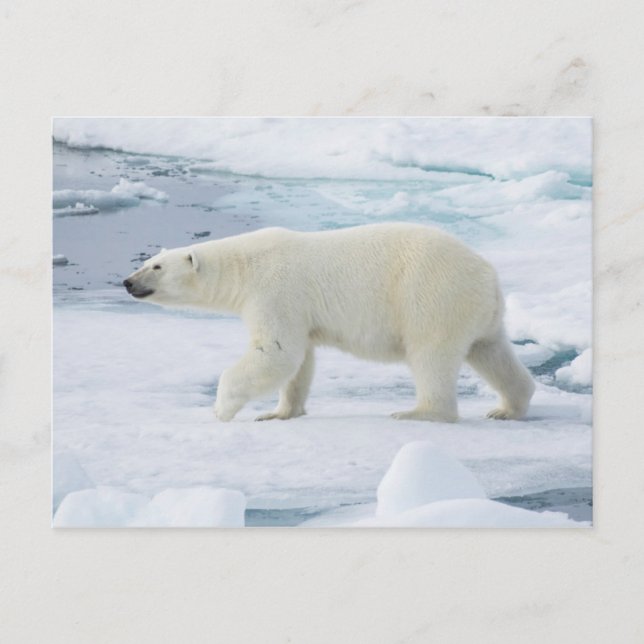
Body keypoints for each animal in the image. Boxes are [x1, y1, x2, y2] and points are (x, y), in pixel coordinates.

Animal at [123, 223, 535, 423]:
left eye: (156, 267)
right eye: (146, 261)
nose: (127, 282)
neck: (244, 266)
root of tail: (487, 274)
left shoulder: (276, 291)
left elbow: (276, 352)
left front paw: (222, 410)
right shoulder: (297, 310)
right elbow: (299, 361)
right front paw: (277, 413)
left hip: (430, 296)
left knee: (430, 355)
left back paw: (419, 412)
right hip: (478, 311)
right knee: (491, 351)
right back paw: (507, 407)